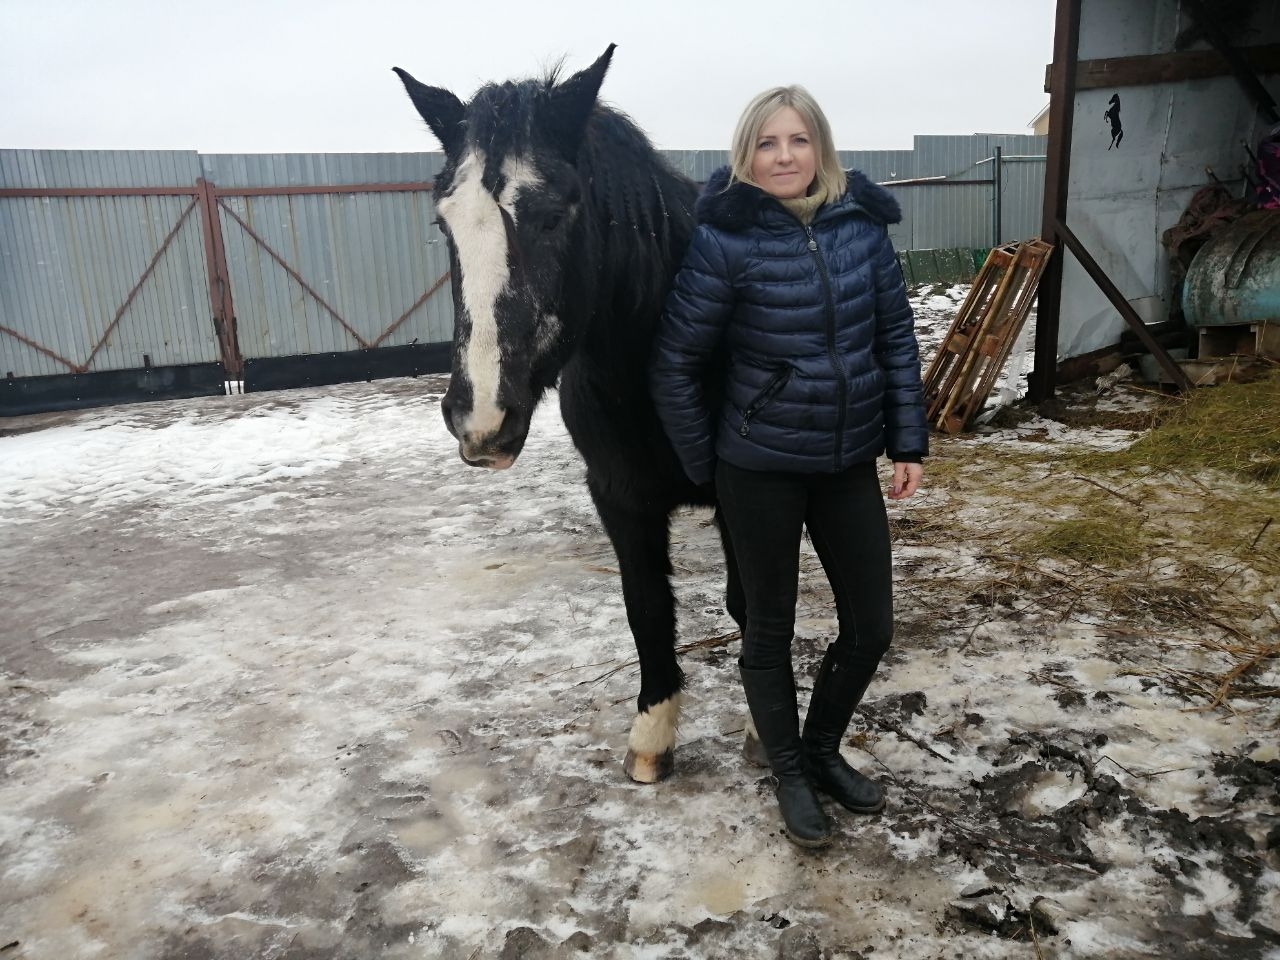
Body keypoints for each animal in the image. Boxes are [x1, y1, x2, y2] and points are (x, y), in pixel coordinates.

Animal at [393, 46, 749, 783]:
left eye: (555, 215)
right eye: (444, 223)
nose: (481, 418)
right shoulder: (618, 497)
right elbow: (647, 607)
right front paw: (652, 738)